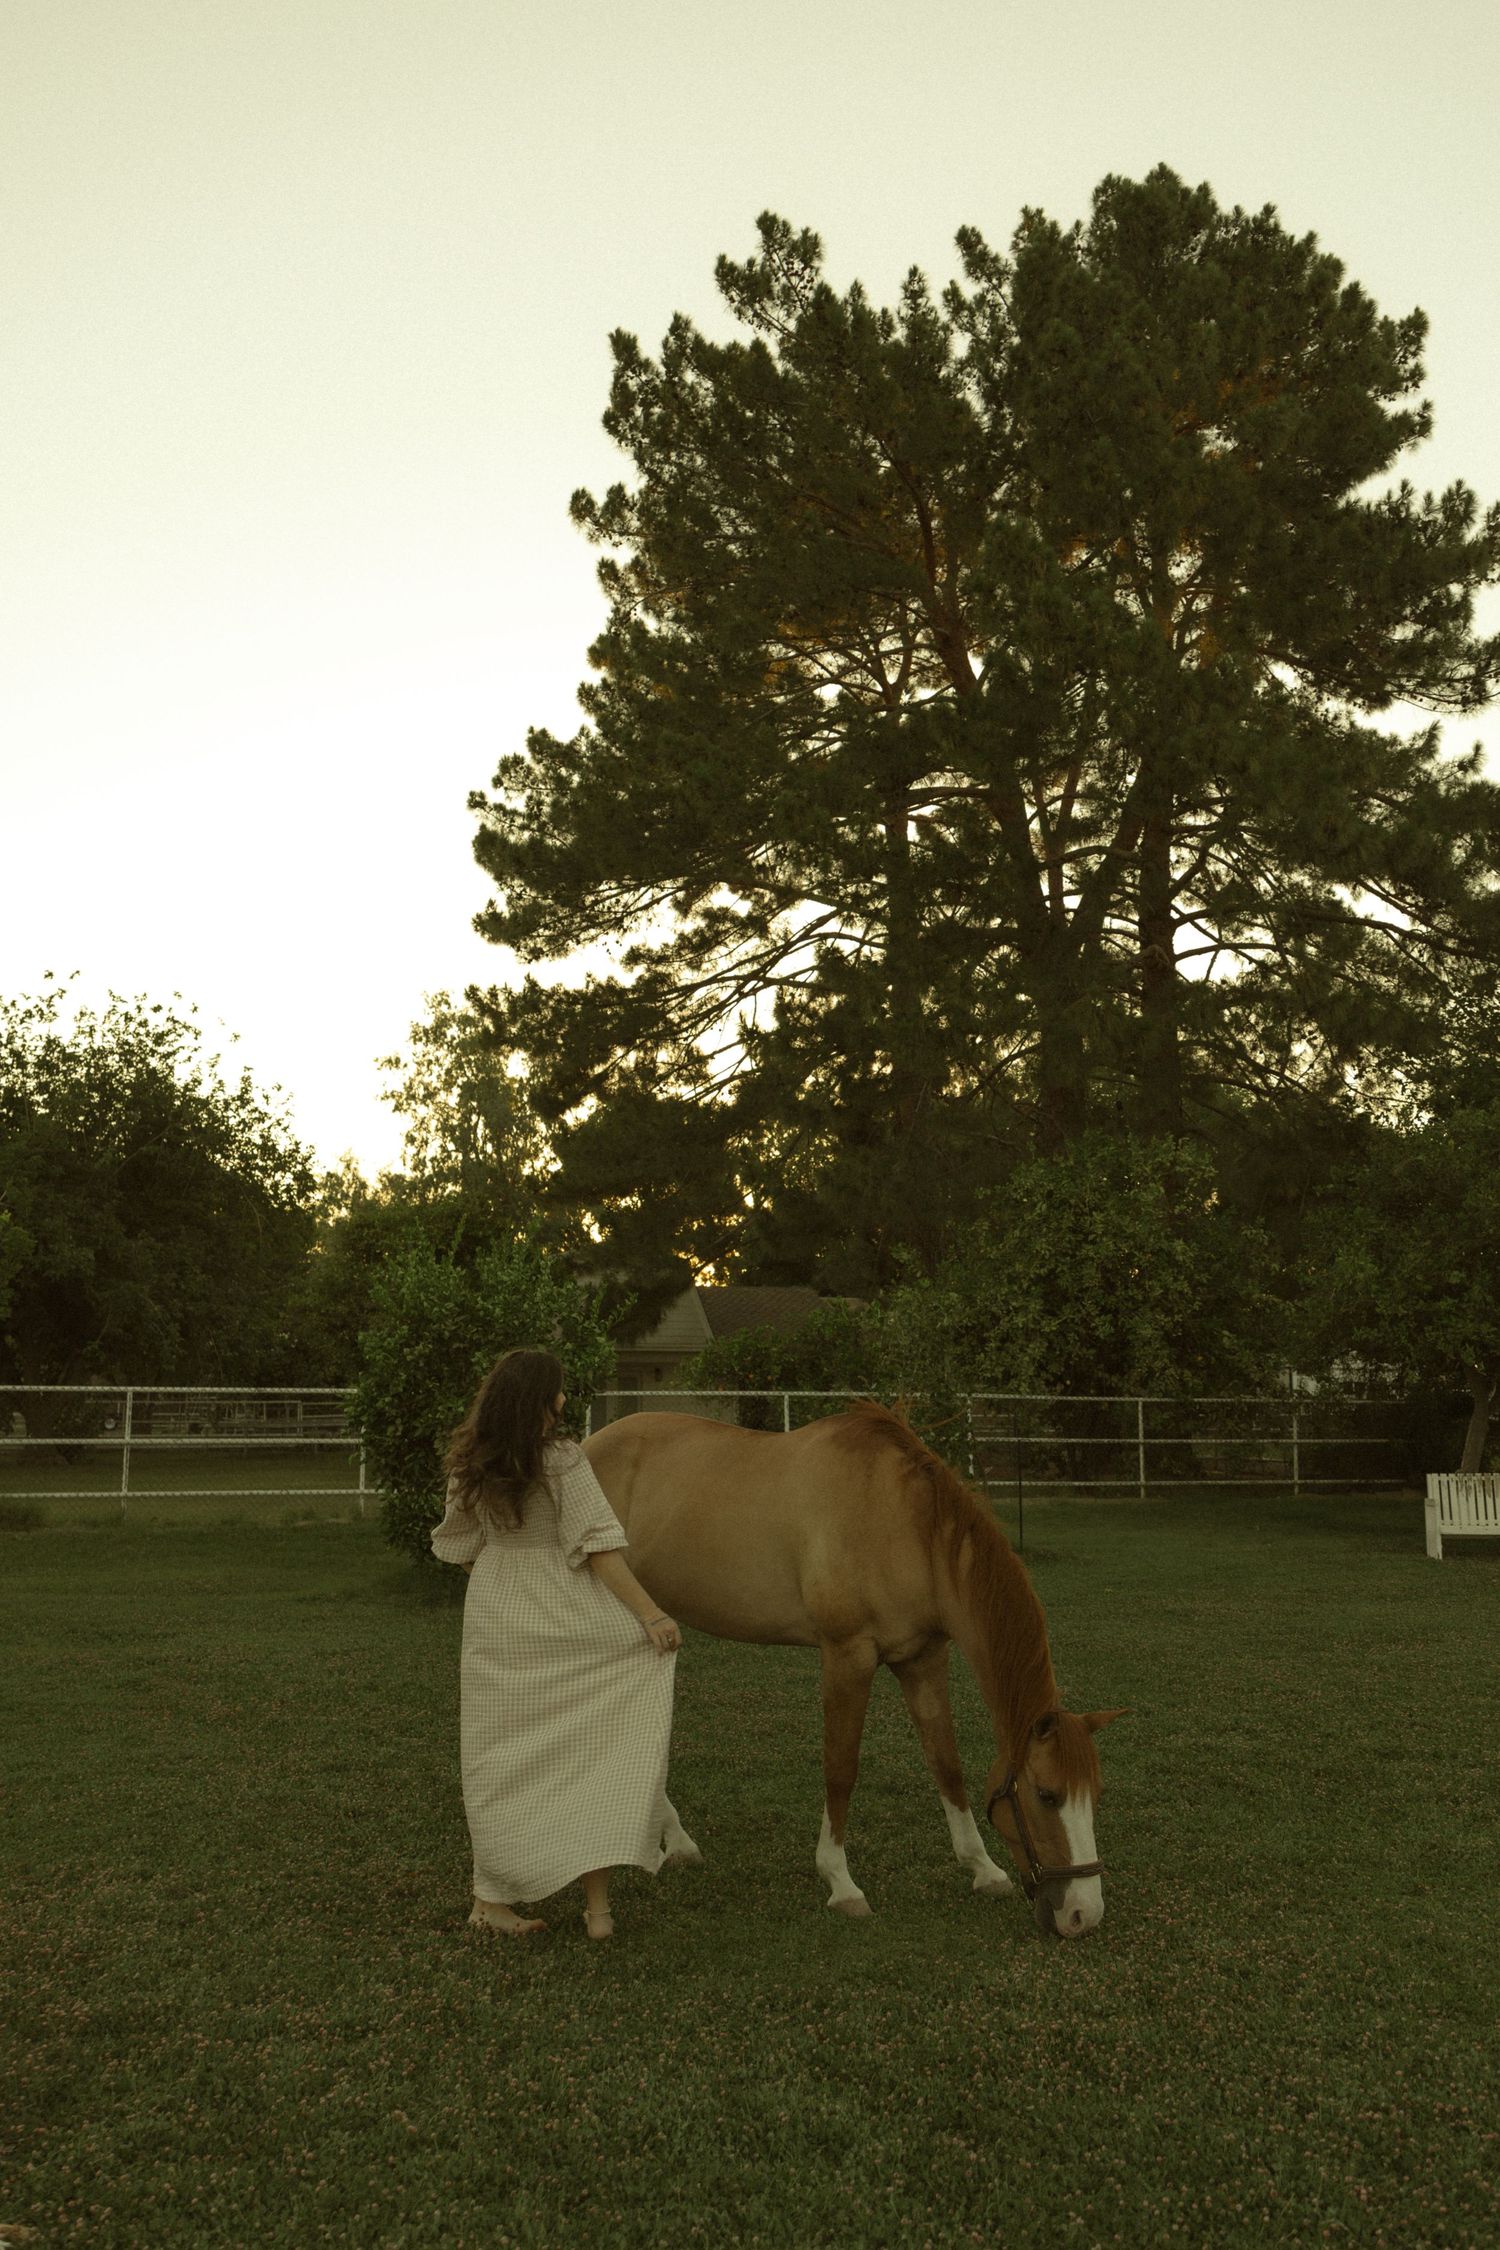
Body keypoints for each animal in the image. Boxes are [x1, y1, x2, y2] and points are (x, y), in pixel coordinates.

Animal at [584, 1400, 1125, 1937]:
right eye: (1047, 1795)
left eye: (1096, 1794)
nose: (1084, 1914)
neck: (908, 1528)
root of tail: (589, 1446)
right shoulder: (849, 1655)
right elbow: (841, 1769)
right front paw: (841, 1883)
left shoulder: (923, 1659)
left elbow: (946, 1763)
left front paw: (984, 1869)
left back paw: (678, 1843)